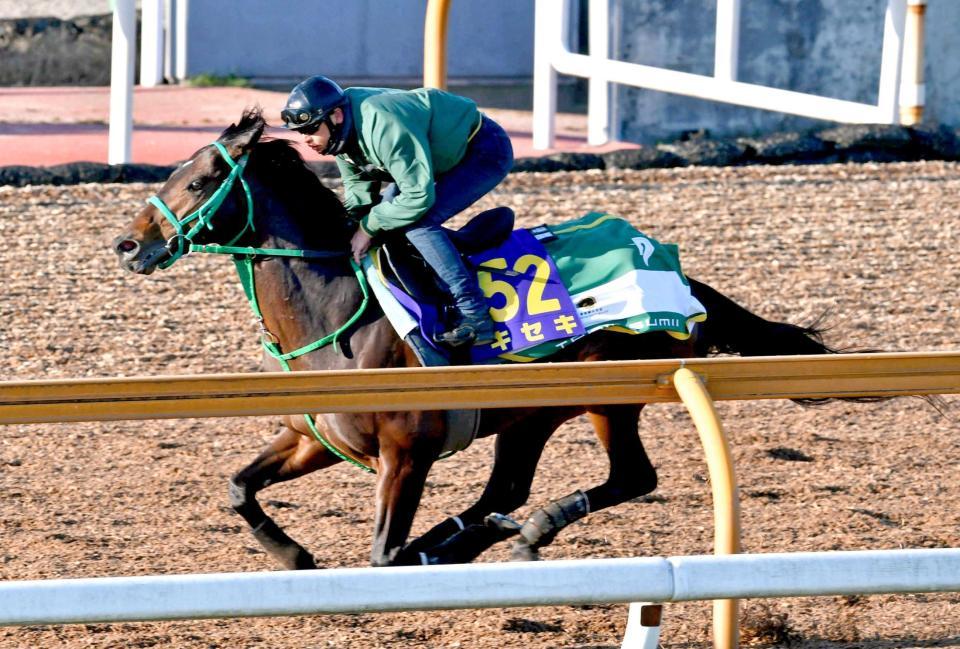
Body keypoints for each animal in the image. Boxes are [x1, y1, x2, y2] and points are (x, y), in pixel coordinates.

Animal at [114, 109, 872, 568]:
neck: (339, 316)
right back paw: (482, 535)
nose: (128, 244)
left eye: (201, 179)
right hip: (529, 411)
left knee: (630, 476)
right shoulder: (315, 436)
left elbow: (383, 554)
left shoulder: (406, 454)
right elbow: (239, 488)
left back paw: (515, 531)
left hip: (608, 392)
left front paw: (404, 551)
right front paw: (294, 555)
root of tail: (676, 271)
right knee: (507, 486)